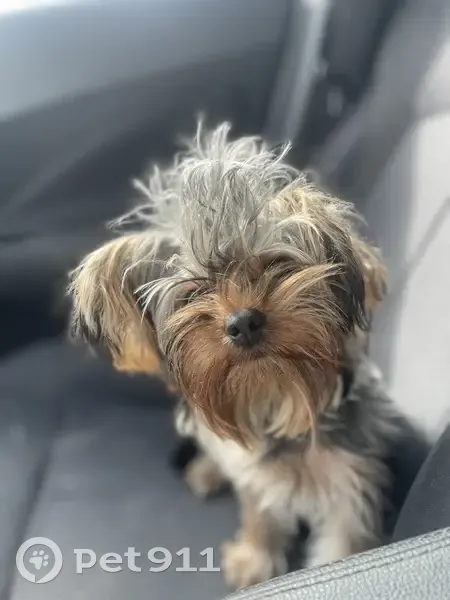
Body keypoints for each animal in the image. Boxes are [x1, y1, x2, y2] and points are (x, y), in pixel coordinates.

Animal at [68, 122, 427, 589]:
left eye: (275, 266)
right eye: (194, 293)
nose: (242, 322)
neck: (276, 393)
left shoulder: (351, 480)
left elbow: (343, 548)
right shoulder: (257, 476)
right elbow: (260, 511)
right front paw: (255, 557)